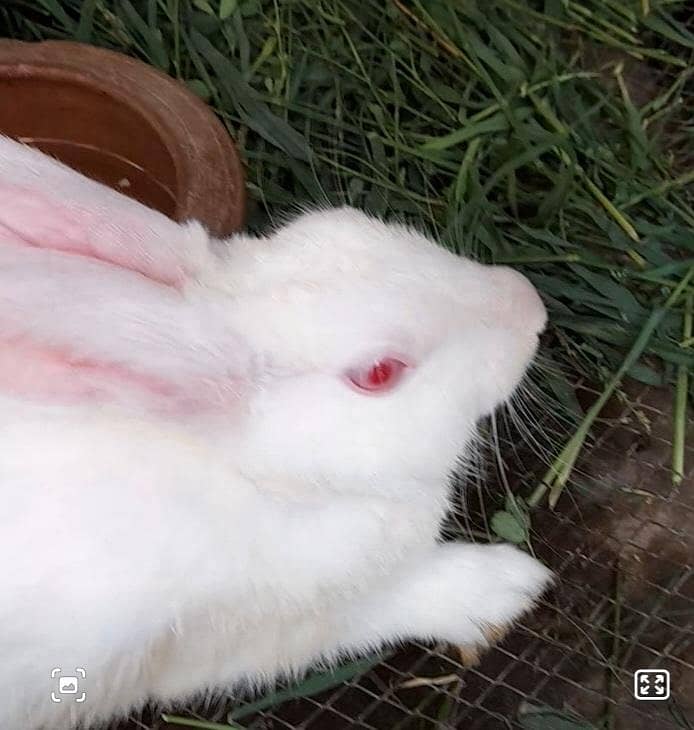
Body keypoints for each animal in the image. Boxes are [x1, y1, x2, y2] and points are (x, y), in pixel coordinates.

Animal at [0, 134, 553, 730]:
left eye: (343, 222)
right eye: (379, 372)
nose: (529, 305)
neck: (257, 476)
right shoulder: (225, 641)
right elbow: (378, 607)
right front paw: (504, 588)